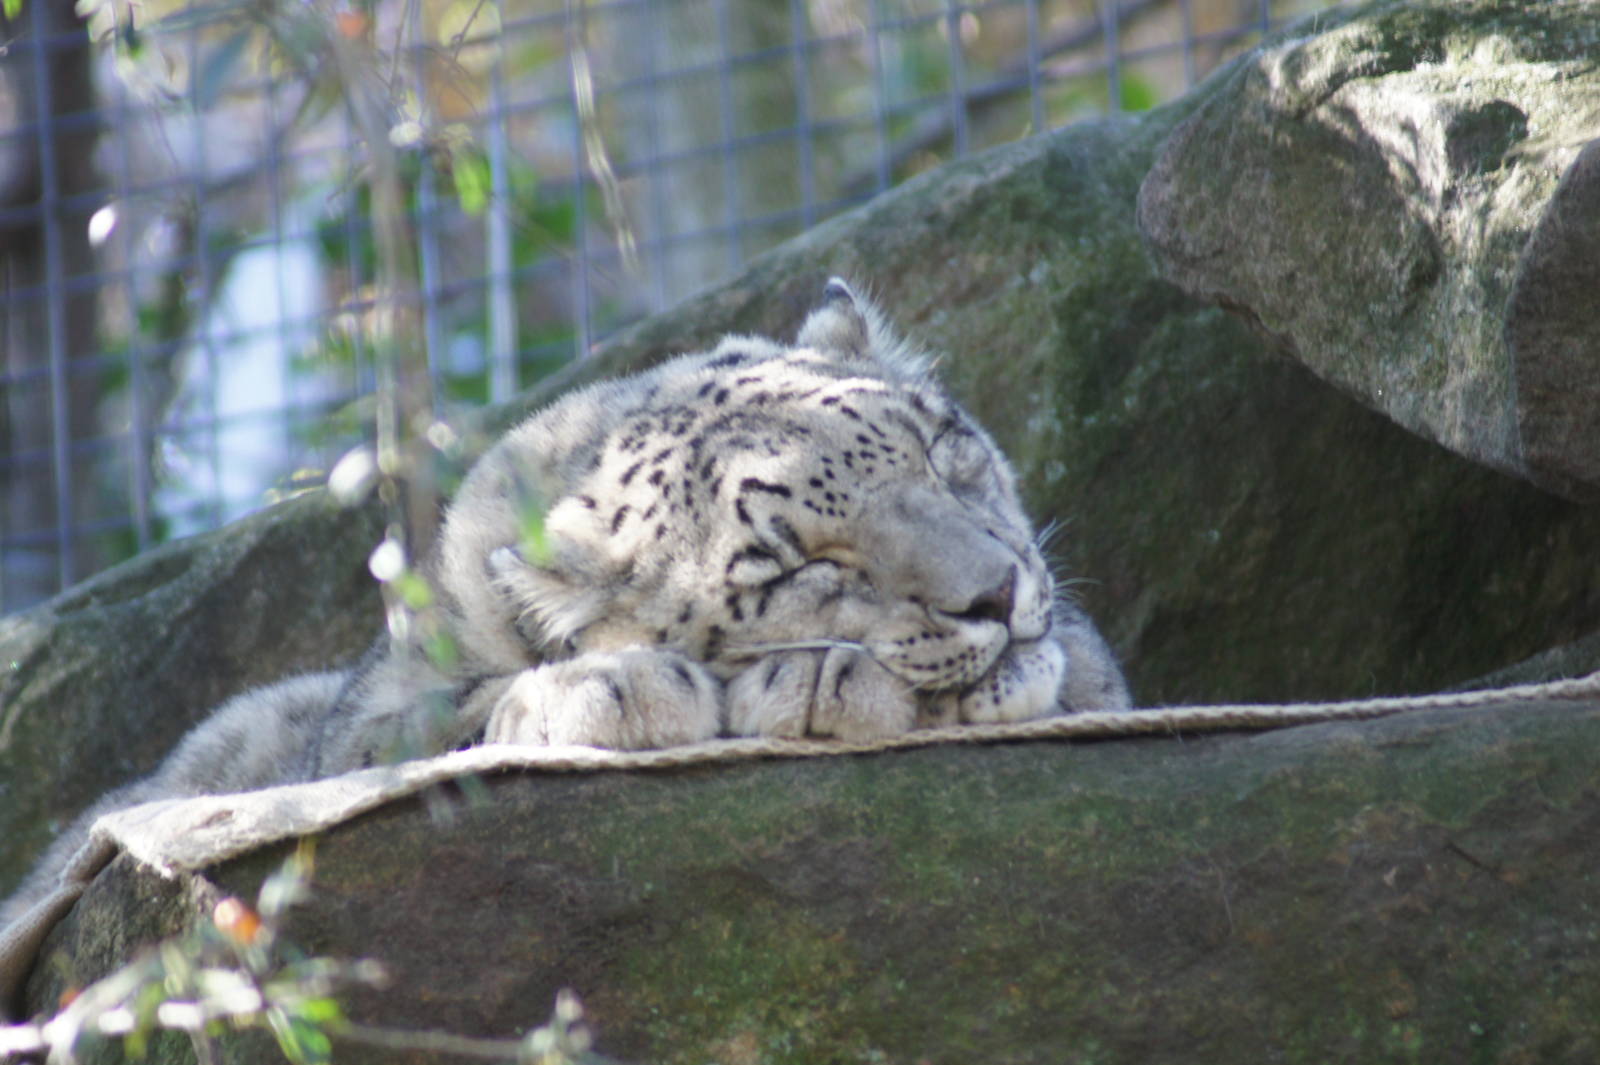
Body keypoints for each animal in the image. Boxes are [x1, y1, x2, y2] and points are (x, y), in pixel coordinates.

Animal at [0, 278, 1129, 932]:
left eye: (943, 448)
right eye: (791, 564)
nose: (996, 591)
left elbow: (1088, 668)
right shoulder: (367, 717)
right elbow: (419, 726)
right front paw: (616, 686)